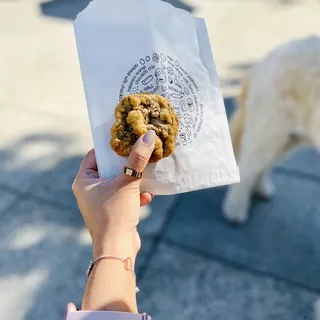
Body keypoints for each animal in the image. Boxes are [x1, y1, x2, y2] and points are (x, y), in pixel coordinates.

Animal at [222, 35, 320, 224]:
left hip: (286, 139)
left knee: (261, 166)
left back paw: (260, 189)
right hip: (268, 133)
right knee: (247, 168)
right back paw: (235, 209)